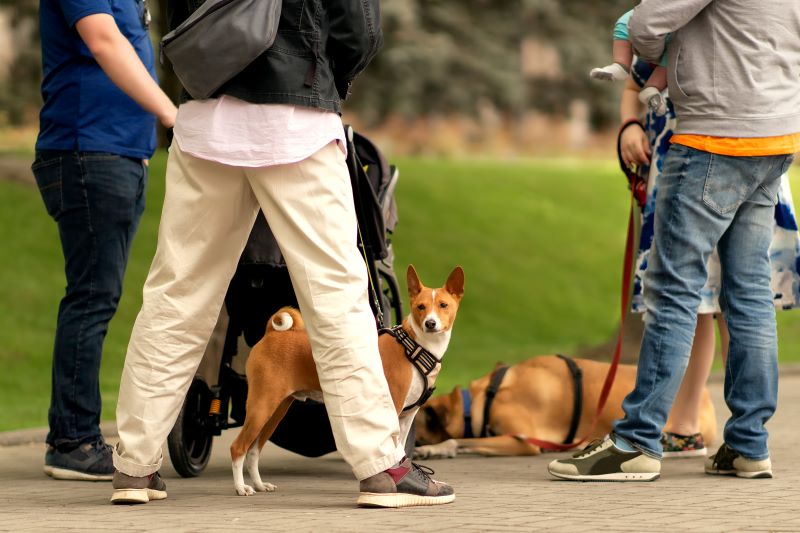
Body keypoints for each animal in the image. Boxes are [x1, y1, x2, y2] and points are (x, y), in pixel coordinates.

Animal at [228, 264, 466, 494]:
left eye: (443, 305)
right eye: (420, 307)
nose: (430, 323)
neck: (414, 348)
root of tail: (272, 333)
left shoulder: (408, 415)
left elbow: (400, 448)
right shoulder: (394, 407)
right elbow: (393, 447)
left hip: (276, 410)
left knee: (253, 451)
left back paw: (260, 485)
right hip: (262, 405)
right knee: (238, 447)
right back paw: (241, 487)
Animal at [416, 354, 716, 458]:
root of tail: (704, 394)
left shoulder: (522, 441)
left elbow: (458, 440)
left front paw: (435, 448)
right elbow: (462, 441)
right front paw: (436, 450)